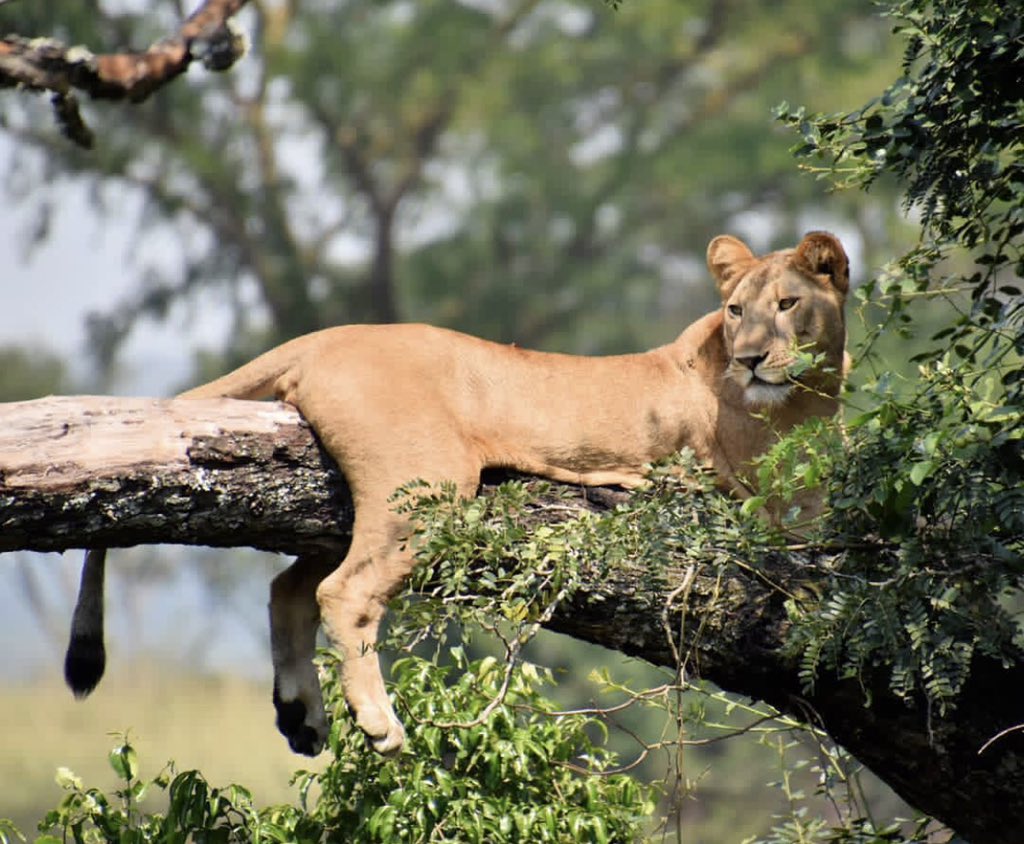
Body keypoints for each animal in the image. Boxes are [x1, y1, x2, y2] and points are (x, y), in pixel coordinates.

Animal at [64, 231, 849, 757]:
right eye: (735, 310)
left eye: (786, 304)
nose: (750, 358)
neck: (808, 400)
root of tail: (324, 337)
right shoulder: (763, 501)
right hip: (428, 483)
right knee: (343, 593)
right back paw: (377, 722)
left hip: (372, 503)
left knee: (291, 588)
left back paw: (302, 716)